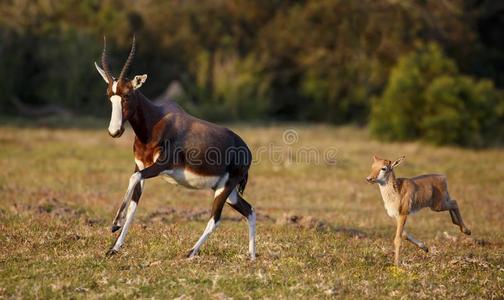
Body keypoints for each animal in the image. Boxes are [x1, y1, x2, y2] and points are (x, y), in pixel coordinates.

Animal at [94, 36, 256, 258]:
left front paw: (114, 224)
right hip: (226, 190)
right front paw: (114, 248)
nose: (115, 131)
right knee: (249, 210)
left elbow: (133, 179)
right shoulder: (140, 167)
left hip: (226, 187)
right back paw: (252, 256)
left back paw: (190, 253)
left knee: (215, 219)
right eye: (109, 95)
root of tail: (245, 149)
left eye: (127, 95)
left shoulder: (160, 166)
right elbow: (133, 206)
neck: (155, 121)